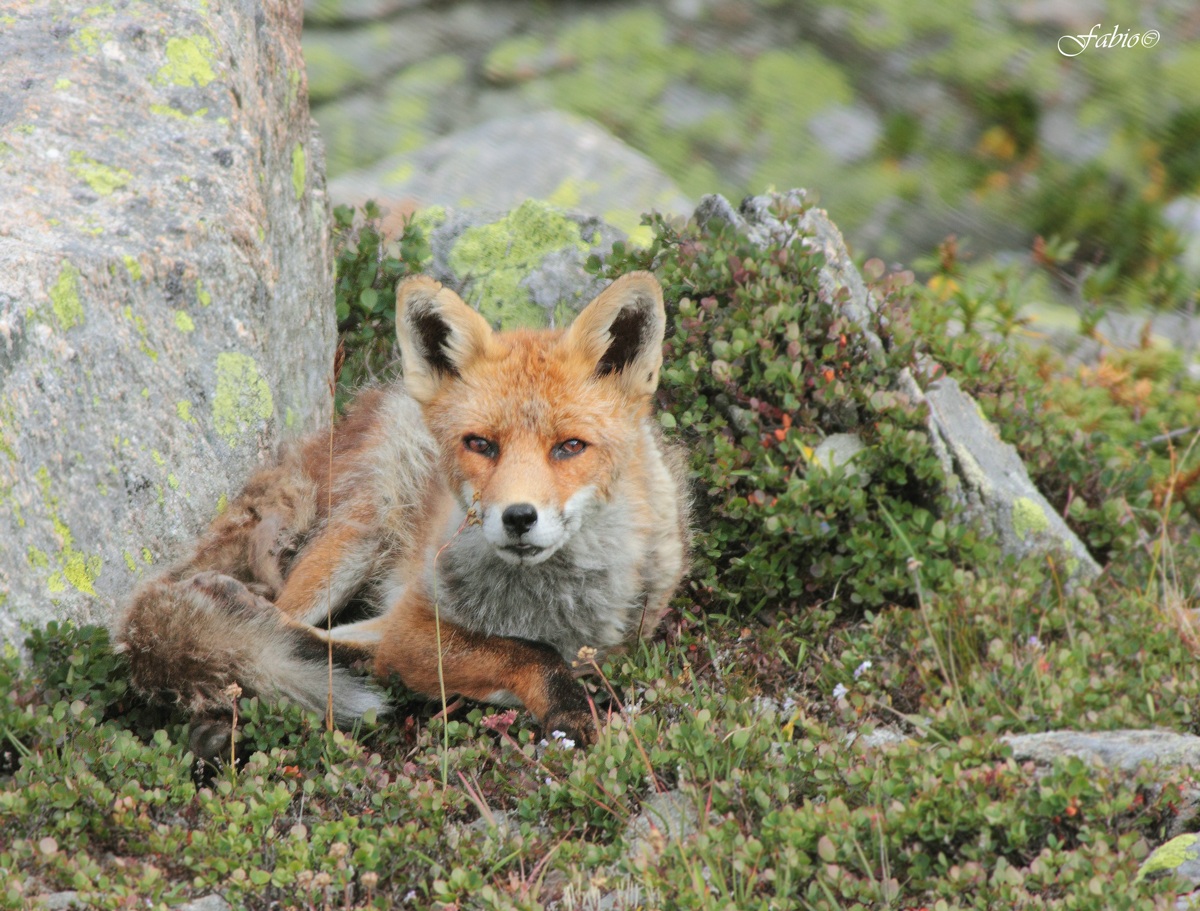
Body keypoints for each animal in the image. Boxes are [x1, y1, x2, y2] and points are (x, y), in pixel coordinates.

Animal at [114, 271, 691, 757]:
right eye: (480, 444)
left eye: (570, 446)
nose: (518, 517)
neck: (538, 606)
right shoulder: (416, 623)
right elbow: (528, 654)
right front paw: (566, 706)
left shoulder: (612, 645)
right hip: (358, 537)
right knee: (279, 623)